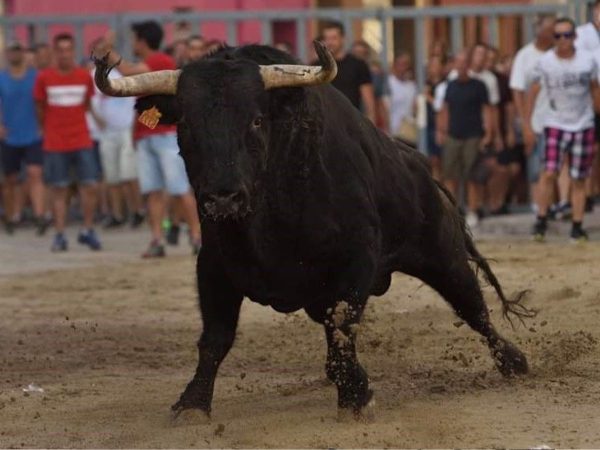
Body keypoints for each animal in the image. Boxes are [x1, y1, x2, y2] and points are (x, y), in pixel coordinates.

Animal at [95, 41, 536, 418]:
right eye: (186, 124)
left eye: (257, 120)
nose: (223, 198)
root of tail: (419, 164)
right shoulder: (214, 266)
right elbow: (215, 339)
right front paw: (192, 404)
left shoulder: (355, 260)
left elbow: (342, 329)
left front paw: (355, 396)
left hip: (441, 255)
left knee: (472, 306)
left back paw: (514, 362)